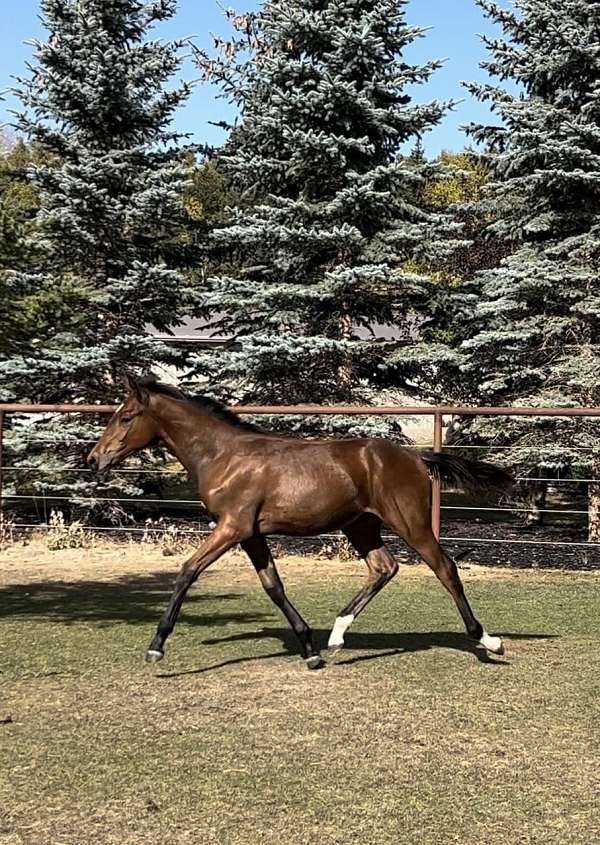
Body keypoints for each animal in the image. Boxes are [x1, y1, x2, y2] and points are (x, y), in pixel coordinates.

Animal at [87, 374, 512, 670]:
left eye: (125, 417)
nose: (94, 459)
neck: (223, 456)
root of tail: (416, 457)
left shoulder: (231, 527)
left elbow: (188, 570)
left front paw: (156, 646)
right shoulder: (250, 534)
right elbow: (273, 586)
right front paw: (310, 649)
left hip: (411, 523)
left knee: (445, 567)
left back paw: (488, 641)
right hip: (360, 525)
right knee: (384, 567)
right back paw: (337, 636)